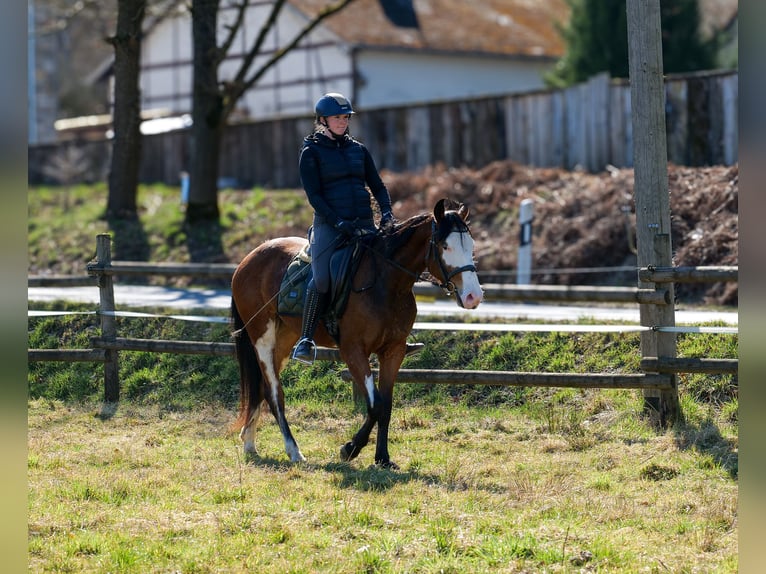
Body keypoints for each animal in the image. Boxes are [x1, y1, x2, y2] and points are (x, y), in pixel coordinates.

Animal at [231, 199, 486, 472]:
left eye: (471, 246)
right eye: (445, 246)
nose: (473, 297)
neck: (386, 283)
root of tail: (249, 259)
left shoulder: (393, 351)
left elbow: (386, 405)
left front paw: (382, 457)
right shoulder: (353, 351)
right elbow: (375, 405)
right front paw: (350, 449)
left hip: (285, 339)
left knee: (262, 387)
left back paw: (249, 441)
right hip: (262, 337)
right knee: (274, 393)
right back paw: (293, 451)